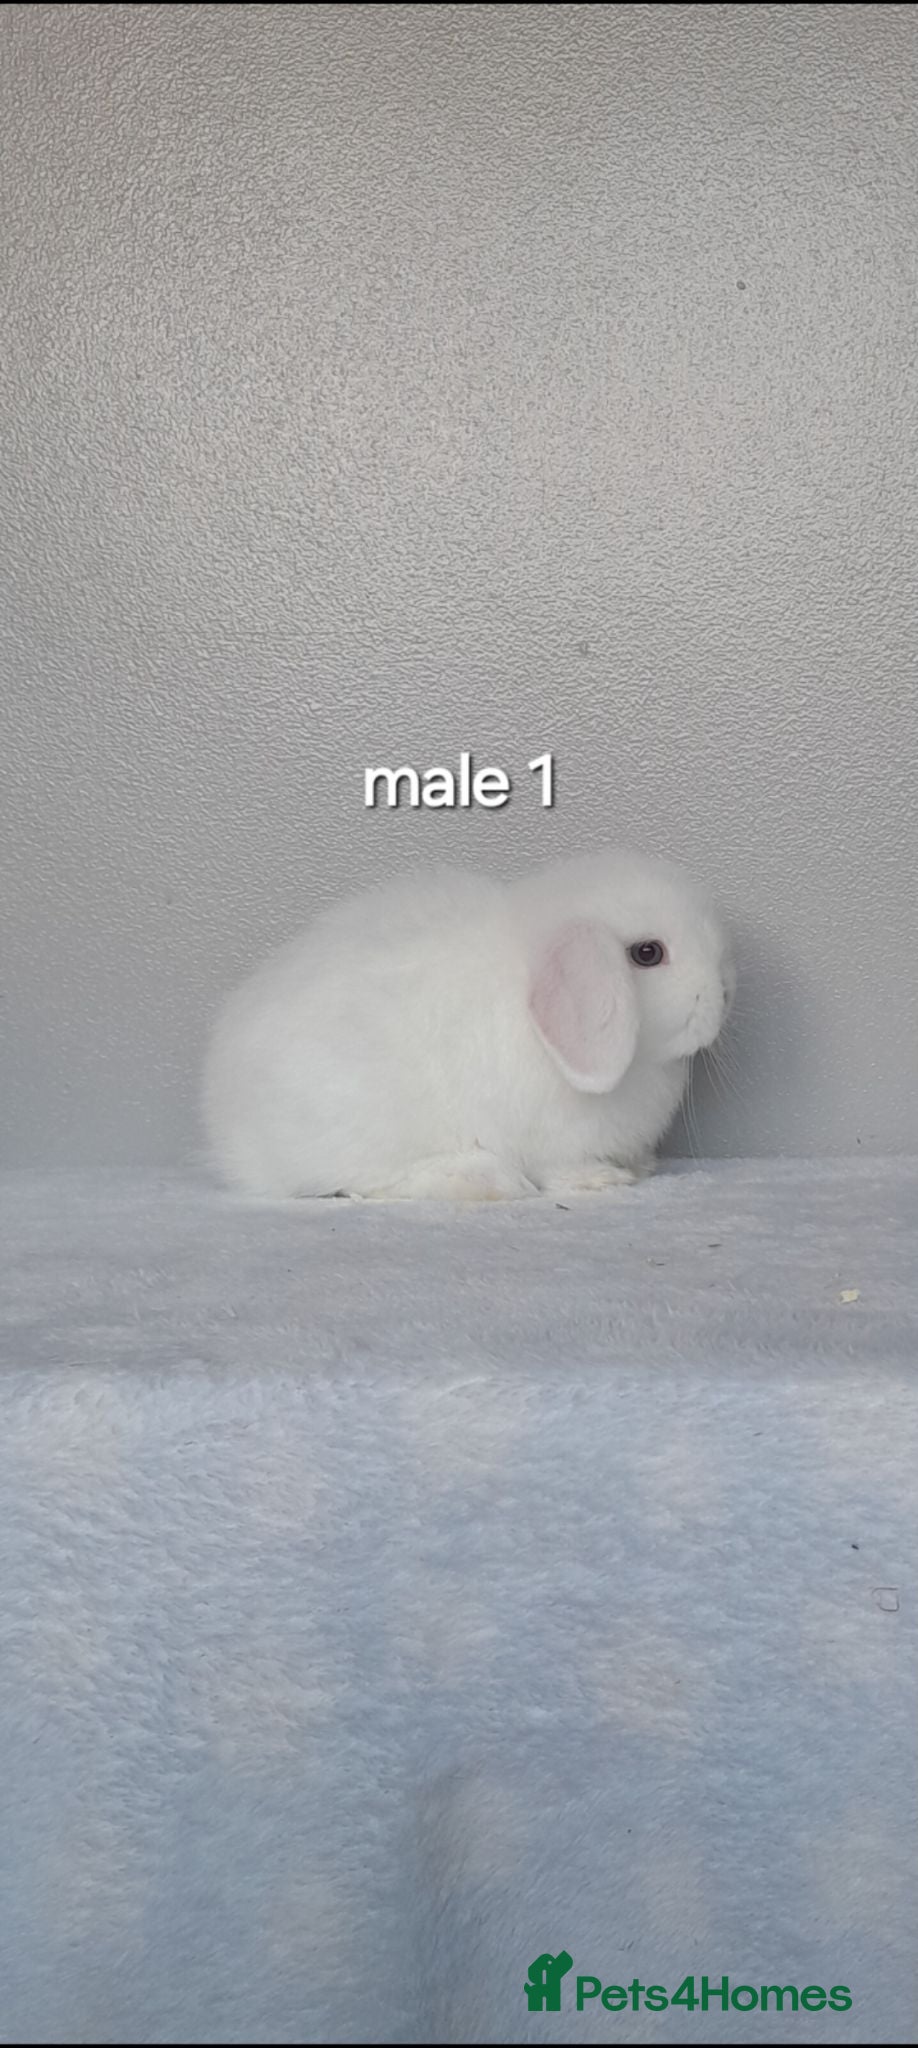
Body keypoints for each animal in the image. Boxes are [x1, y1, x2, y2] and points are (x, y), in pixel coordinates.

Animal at [202, 849, 734, 1201]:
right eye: (648, 953)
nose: (726, 994)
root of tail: (230, 1131)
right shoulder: (550, 1139)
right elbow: (561, 1169)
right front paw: (603, 1179)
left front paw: (640, 1165)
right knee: (360, 1183)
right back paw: (485, 1180)